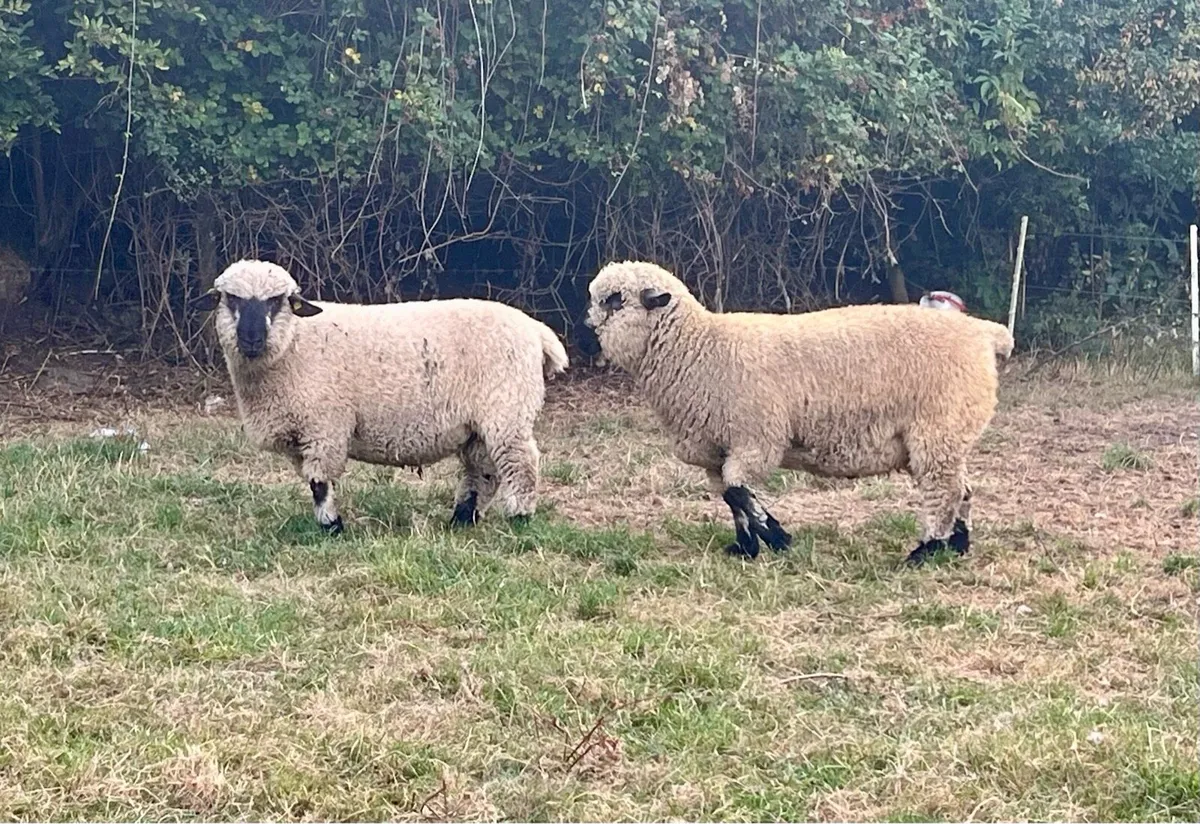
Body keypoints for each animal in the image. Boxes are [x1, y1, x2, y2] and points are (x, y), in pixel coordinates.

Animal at [193, 259, 568, 534]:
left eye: (277, 301)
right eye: (230, 299)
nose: (251, 338)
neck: (294, 345)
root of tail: (536, 330)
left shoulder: (325, 429)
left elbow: (320, 484)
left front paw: (332, 527)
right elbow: (314, 483)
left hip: (507, 410)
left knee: (521, 465)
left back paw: (519, 518)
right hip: (480, 423)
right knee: (484, 472)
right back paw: (462, 520)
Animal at [584, 260, 1013, 566]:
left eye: (615, 299)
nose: (585, 323)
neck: (700, 347)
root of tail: (982, 333)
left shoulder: (757, 438)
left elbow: (739, 490)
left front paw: (776, 537)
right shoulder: (715, 450)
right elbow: (731, 498)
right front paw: (746, 547)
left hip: (939, 428)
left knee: (945, 490)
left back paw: (926, 551)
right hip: (945, 435)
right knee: (962, 489)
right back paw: (957, 545)